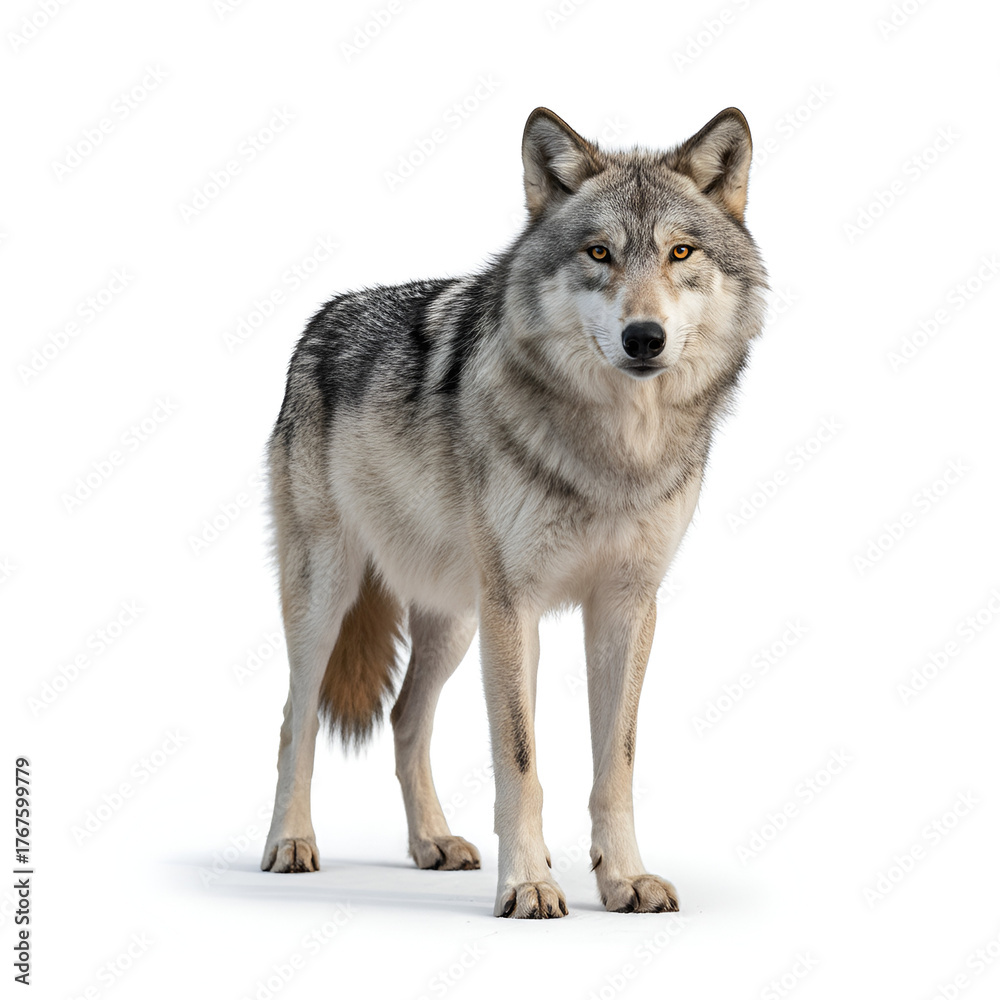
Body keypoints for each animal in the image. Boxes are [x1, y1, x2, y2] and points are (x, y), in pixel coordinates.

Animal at [260, 106, 767, 918]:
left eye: (680, 251)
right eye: (599, 252)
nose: (644, 338)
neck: (615, 452)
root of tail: (322, 319)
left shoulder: (627, 605)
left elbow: (616, 764)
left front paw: (624, 879)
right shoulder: (514, 605)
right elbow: (520, 760)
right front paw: (529, 884)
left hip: (454, 619)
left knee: (406, 719)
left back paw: (431, 844)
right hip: (328, 598)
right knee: (293, 719)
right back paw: (290, 844)